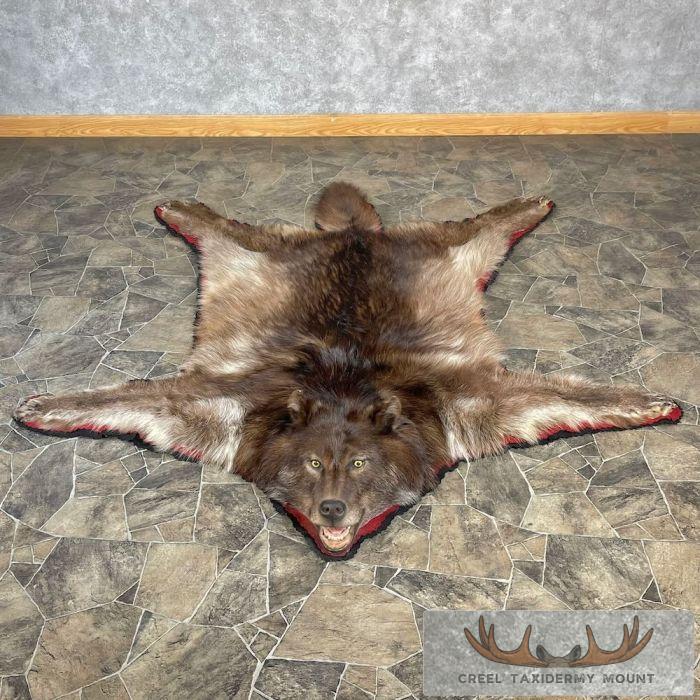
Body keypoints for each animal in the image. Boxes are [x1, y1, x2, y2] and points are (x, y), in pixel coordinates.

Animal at [14, 183, 680, 556]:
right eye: (312, 465)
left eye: (361, 465)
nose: (333, 511)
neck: (345, 386)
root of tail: (356, 235)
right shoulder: (224, 405)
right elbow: (131, 397)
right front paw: (48, 407)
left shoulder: (466, 401)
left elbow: (567, 395)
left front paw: (650, 403)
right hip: (261, 253)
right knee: (224, 228)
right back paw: (181, 207)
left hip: (447, 252)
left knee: (482, 225)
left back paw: (528, 204)